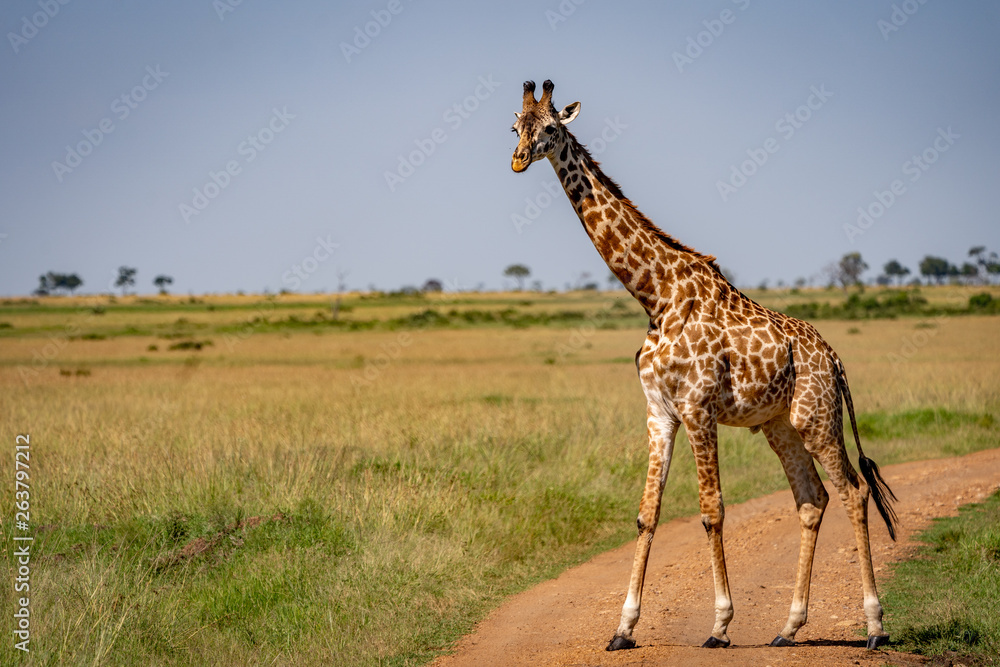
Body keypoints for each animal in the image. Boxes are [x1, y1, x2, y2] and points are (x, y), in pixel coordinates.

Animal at [510, 80, 898, 651]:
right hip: (780, 425)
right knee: (812, 499)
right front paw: (623, 628)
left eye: (552, 128)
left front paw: (719, 624)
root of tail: (834, 357)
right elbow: (646, 514)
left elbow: (712, 510)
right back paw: (788, 627)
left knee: (854, 492)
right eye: (516, 124)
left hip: (817, 417)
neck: (656, 296)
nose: (518, 159)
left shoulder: (697, 408)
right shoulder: (659, 413)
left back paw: (873, 626)